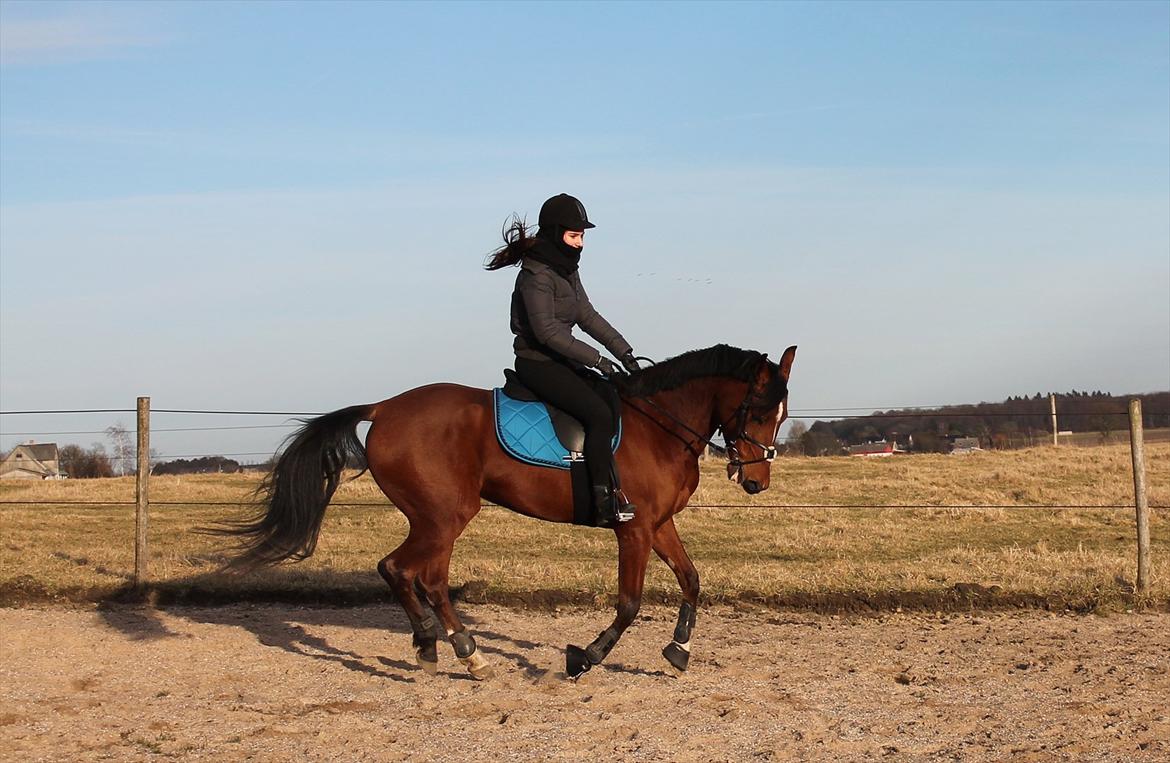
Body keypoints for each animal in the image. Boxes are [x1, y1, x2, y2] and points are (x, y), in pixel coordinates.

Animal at [215, 344, 795, 678]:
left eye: (782, 414)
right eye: (759, 410)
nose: (755, 481)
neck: (660, 425)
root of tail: (384, 408)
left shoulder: (659, 524)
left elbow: (691, 580)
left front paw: (679, 652)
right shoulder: (633, 529)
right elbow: (630, 603)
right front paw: (584, 658)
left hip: (436, 519)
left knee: (423, 578)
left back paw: (445, 647)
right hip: (443, 516)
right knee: (402, 570)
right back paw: (457, 652)